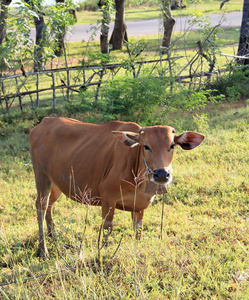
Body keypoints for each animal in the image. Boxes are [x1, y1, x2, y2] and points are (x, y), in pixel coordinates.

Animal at [29, 117, 204, 258]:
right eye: (146, 146)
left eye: (172, 145)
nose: (161, 174)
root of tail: (45, 121)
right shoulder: (108, 196)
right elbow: (107, 229)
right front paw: (104, 253)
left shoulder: (139, 207)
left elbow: (138, 232)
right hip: (41, 176)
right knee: (41, 206)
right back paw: (43, 249)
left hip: (57, 182)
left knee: (50, 205)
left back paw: (52, 235)